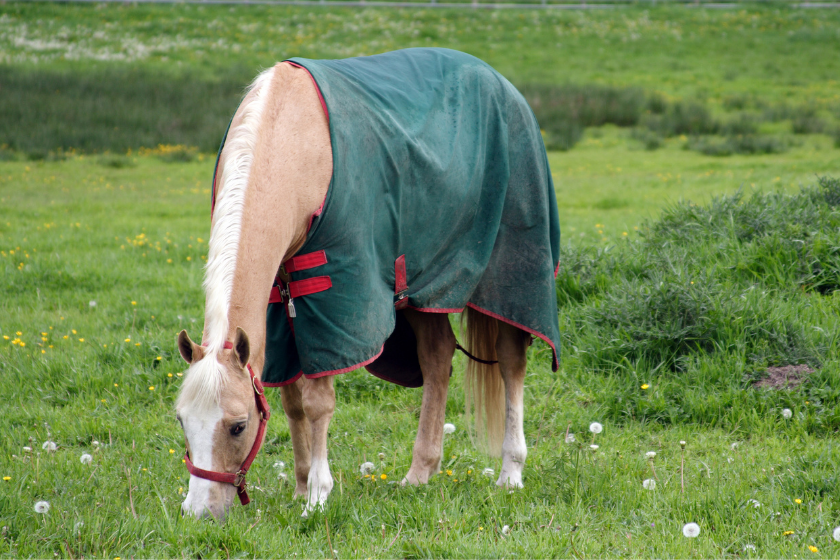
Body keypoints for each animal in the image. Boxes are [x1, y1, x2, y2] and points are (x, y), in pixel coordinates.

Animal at [174, 48, 560, 520]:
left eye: (237, 426)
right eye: (182, 421)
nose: (199, 511)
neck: (294, 142)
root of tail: (502, 84)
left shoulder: (334, 295)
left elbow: (318, 402)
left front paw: (318, 496)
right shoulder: (281, 302)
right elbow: (291, 400)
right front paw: (301, 486)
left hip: (507, 278)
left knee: (510, 361)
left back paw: (511, 471)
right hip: (423, 291)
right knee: (437, 358)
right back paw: (420, 472)